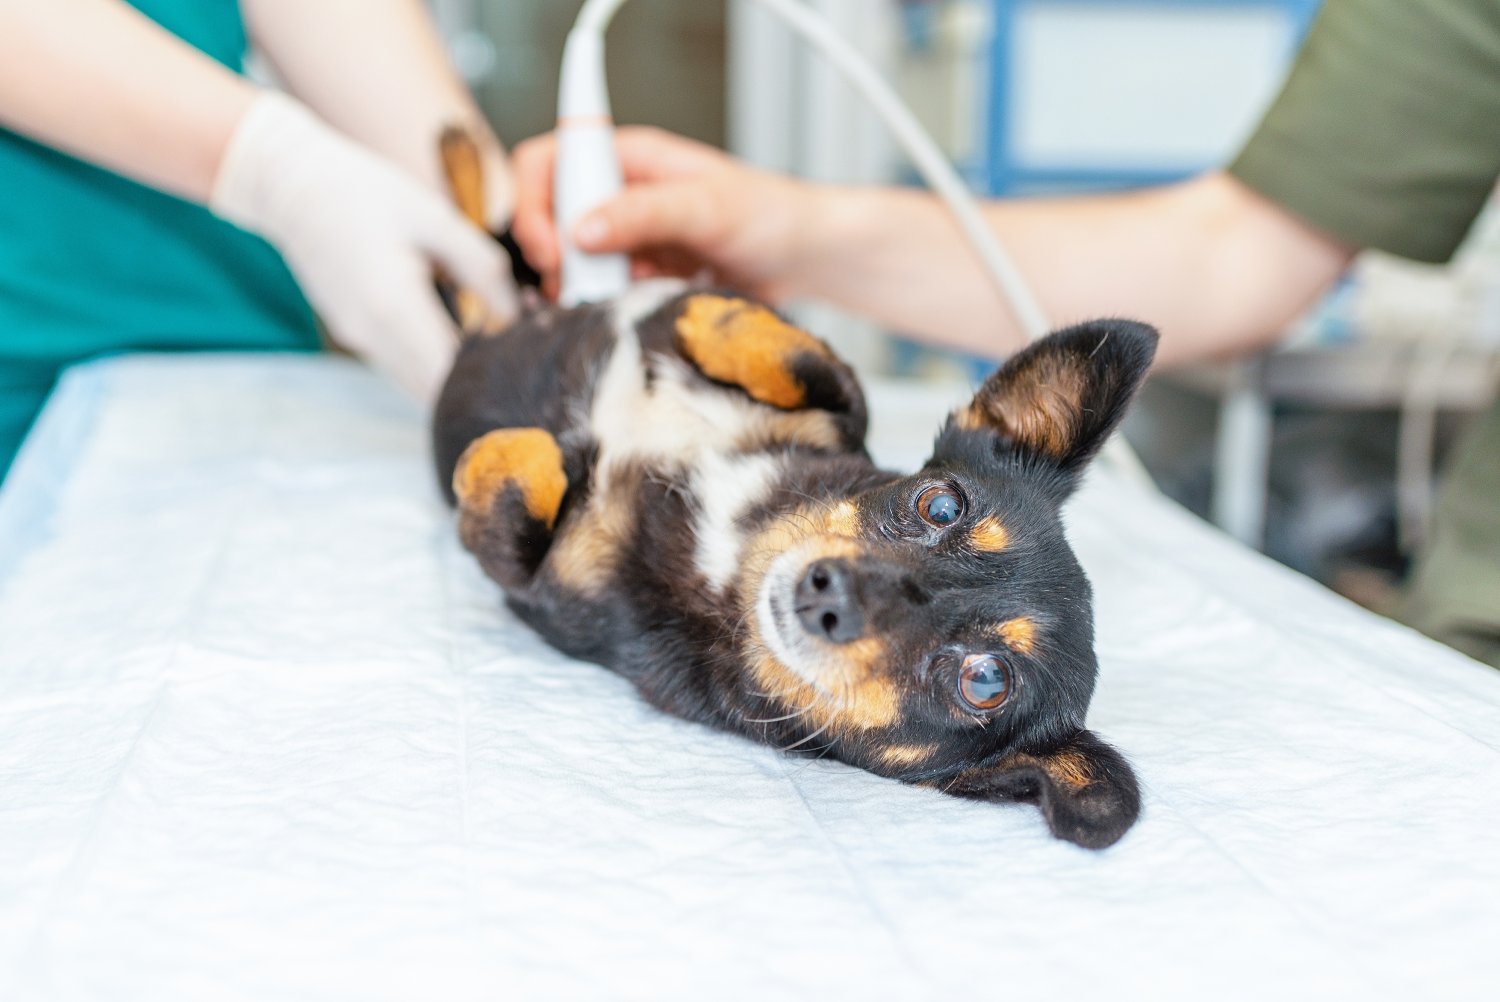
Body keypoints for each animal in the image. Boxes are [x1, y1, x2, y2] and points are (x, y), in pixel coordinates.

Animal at [435, 138, 1158, 852]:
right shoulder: (831, 415)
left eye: (984, 682)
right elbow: (827, 373)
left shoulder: (545, 586)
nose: (828, 592)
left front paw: (497, 453)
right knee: (490, 257)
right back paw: (462, 158)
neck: (737, 550)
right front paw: (710, 311)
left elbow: (513, 498)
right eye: (941, 505)